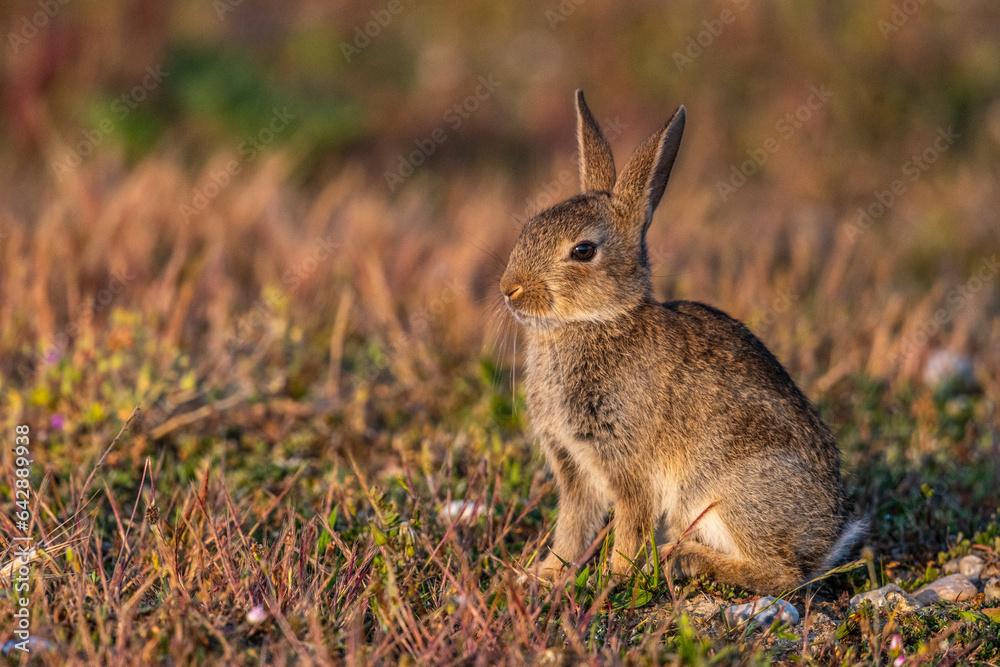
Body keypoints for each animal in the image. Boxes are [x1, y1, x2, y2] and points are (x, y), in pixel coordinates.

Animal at [499, 91, 866, 595]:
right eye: (530, 227)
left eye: (583, 250)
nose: (508, 289)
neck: (595, 320)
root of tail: (826, 540)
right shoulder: (575, 466)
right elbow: (571, 530)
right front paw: (545, 575)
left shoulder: (630, 465)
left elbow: (630, 525)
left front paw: (613, 579)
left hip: (728, 492)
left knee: (782, 575)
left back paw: (682, 559)